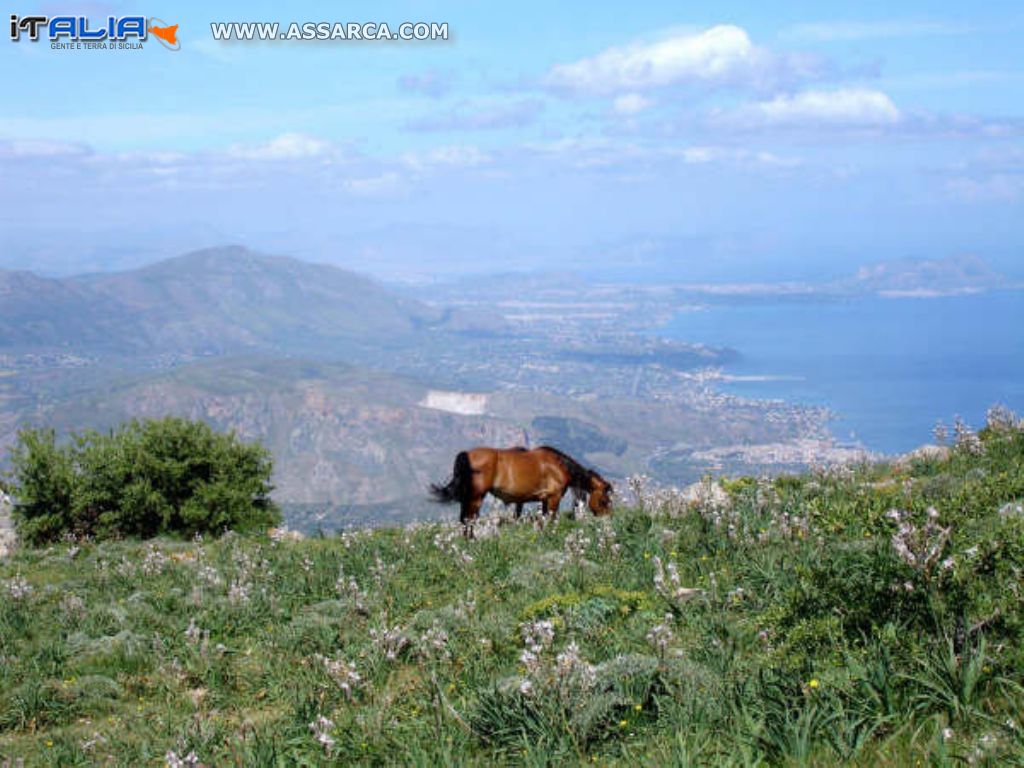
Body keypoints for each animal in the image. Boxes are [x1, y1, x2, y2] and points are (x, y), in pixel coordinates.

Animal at [428, 444, 610, 536]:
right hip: (476, 497)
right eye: (604, 501)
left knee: (464, 519)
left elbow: (543, 520)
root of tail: (466, 455)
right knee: (469, 519)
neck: (558, 466)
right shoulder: (554, 497)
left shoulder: (544, 500)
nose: (607, 521)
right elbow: (552, 519)